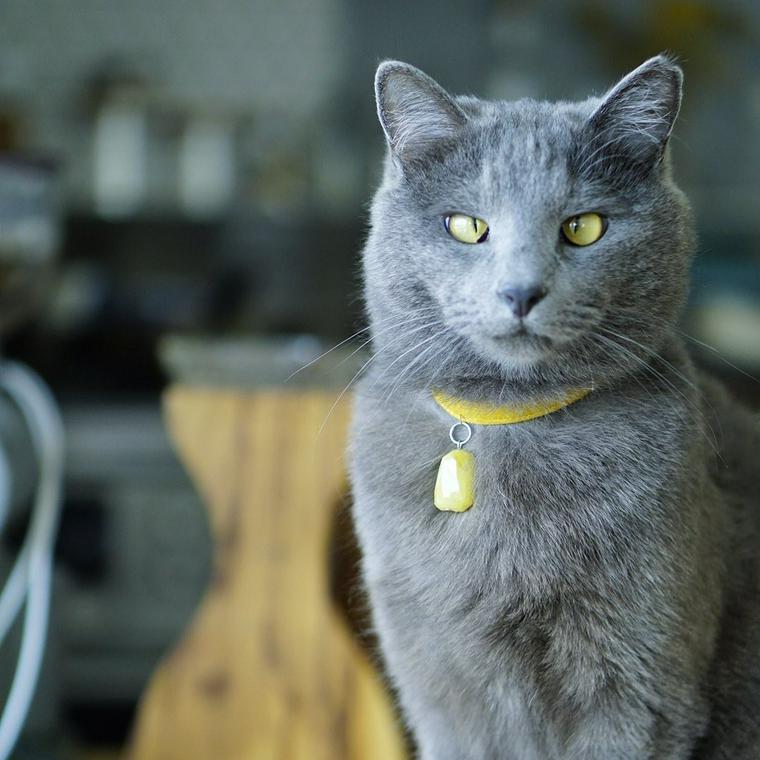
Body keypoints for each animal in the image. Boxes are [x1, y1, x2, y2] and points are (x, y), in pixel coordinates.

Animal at [348, 55, 760, 760]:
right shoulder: (438, 689)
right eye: (467, 226)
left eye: (583, 227)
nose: (520, 291)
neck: (509, 421)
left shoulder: (639, 689)